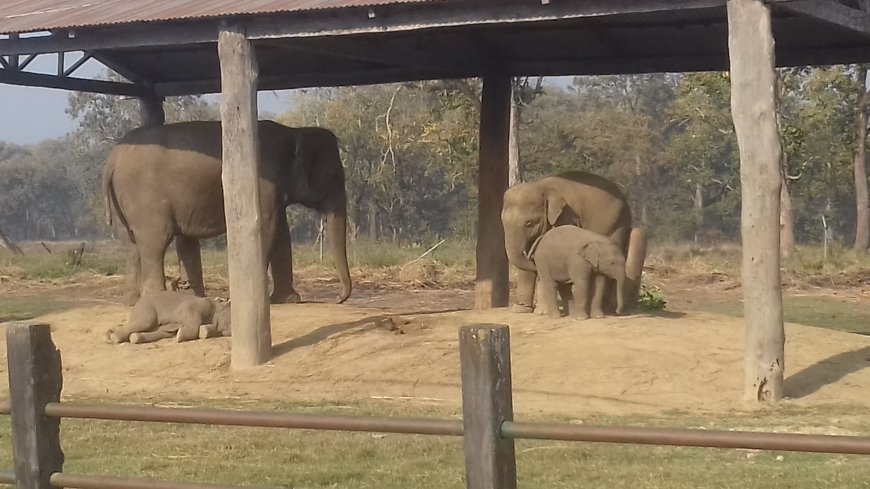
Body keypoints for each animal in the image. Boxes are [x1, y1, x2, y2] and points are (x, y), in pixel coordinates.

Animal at [100, 121, 350, 304]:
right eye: (336, 177)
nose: (338, 298)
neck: (293, 131)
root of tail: (112, 160)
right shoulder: (264, 182)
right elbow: (267, 226)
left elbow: (280, 231)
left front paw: (288, 300)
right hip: (145, 197)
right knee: (154, 244)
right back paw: (156, 298)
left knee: (132, 248)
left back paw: (133, 301)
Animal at [500, 172, 632, 314]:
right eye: (503, 222)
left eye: (529, 223)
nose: (531, 257)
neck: (541, 186)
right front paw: (521, 309)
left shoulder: (566, 217)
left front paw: (543, 311)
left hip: (618, 225)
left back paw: (606, 308)